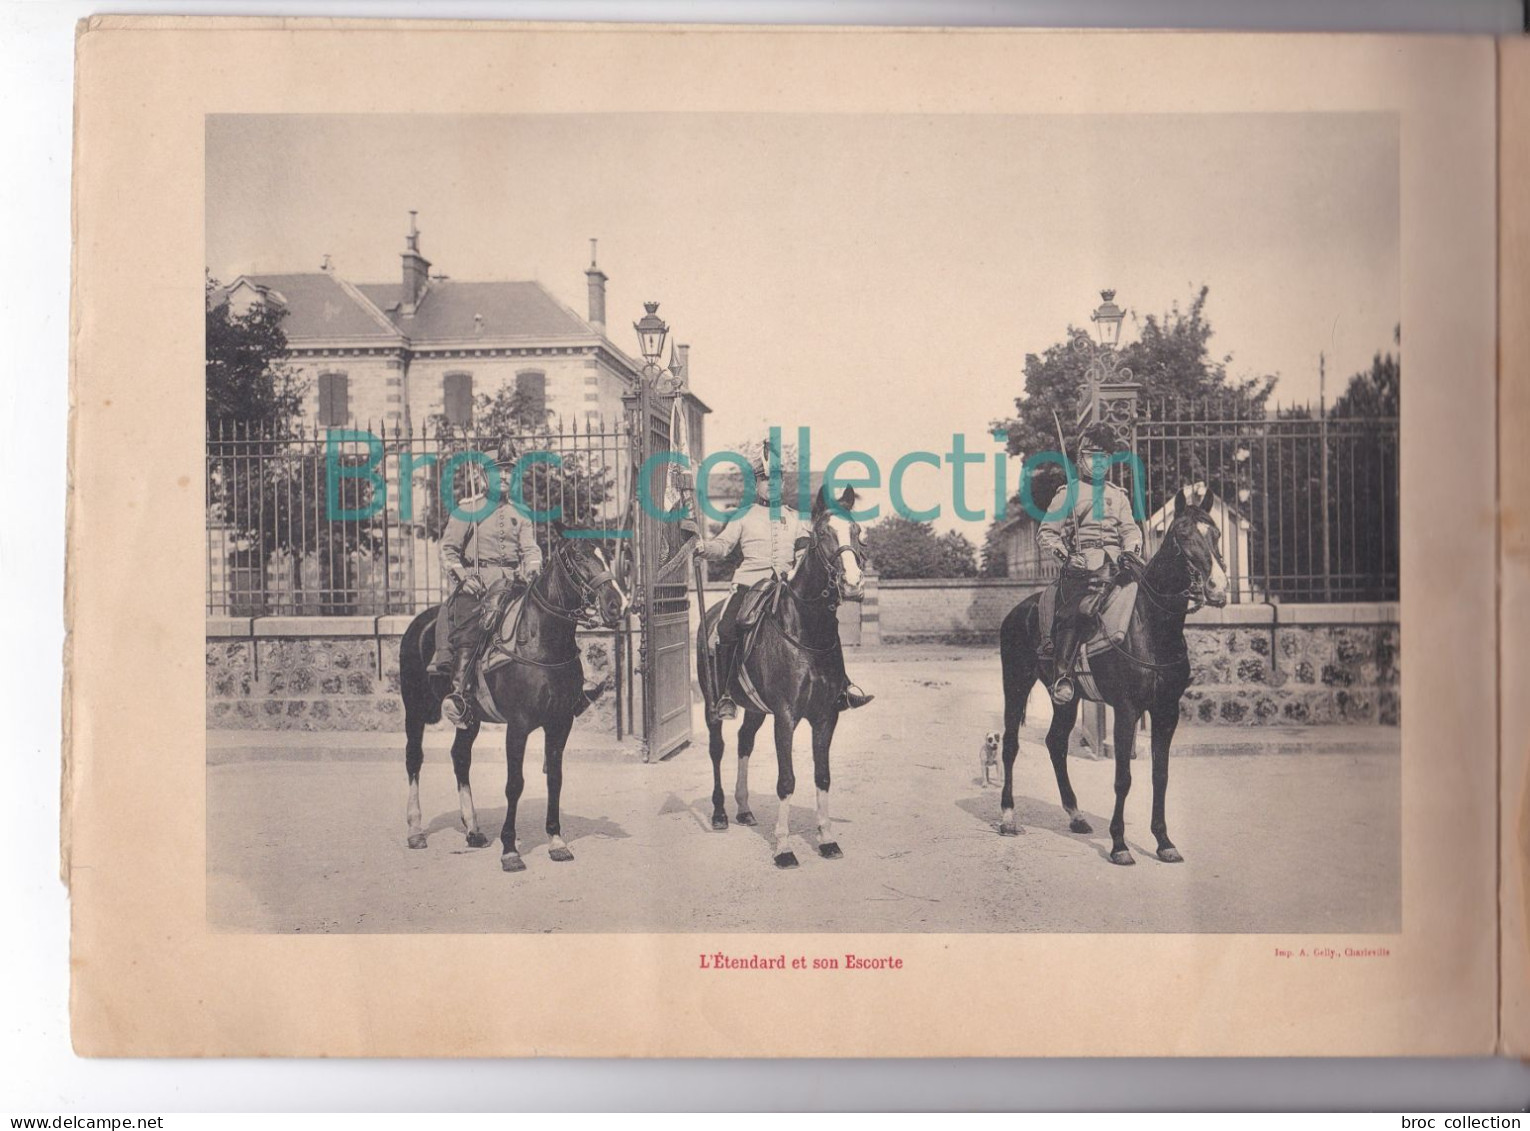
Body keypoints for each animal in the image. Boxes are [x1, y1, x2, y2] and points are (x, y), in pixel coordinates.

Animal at [403, 529, 630, 875]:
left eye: (606, 554)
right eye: (578, 557)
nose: (617, 604)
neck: (541, 640)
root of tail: (418, 622)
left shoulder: (560, 724)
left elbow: (555, 779)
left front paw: (556, 841)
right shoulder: (518, 726)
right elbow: (514, 784)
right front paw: (510, 850)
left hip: (470, 719)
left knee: (460, 757)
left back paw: (473, 829)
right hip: (414, 711)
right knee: (414, 759)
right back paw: (415, 830)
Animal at [697, 483, 869, 869]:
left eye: (856, 531)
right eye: (823, 534)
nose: (853, 585)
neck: (808, 632)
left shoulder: (826, 715)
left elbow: (822, 776)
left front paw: (827, 840)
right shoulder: (786, 717)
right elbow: (786, 780)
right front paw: (784, 848)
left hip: (756, 710)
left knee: (744, 741)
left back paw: (744, 809)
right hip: (712, 704)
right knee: (718, 749)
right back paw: (720, 813)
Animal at [991, 486, 1230, 869]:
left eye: (1216, 533)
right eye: (1182, 534)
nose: (1217, 587)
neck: (1151, 625)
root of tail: (1019, 610)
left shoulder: (1166, 710)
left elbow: (1160, 775)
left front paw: (1164, 841)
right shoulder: (1127, 710)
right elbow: (1123, 777)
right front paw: (1119, 845)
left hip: (1067, 698)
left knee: (1055, 743)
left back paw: (1075, 814)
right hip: (1015, 686)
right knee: (1011, 744)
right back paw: (1009, 817)